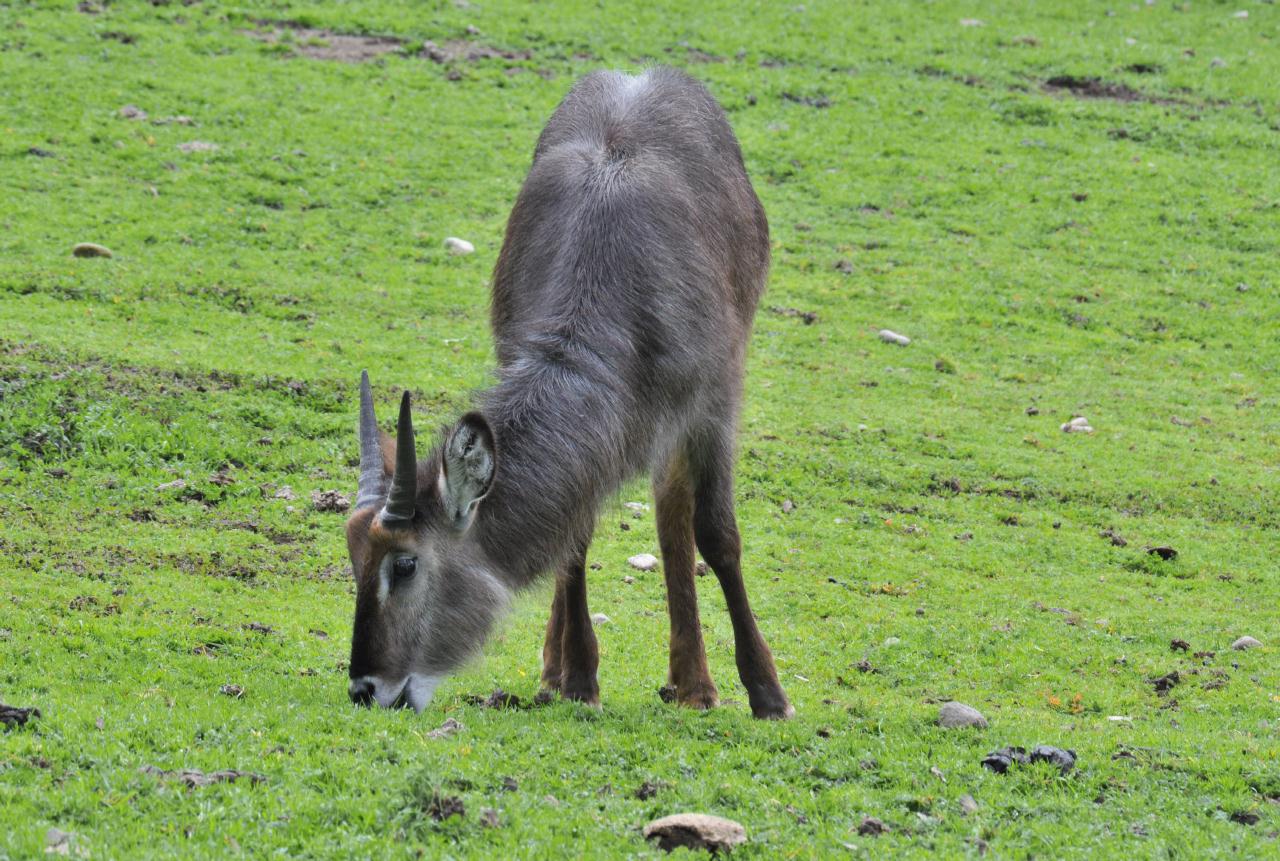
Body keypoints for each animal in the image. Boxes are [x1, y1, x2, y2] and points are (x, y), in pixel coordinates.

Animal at [345, 67, 793, 716]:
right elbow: (572, 533)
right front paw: (579, 676)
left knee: (673, 507)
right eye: (354, 556)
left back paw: (695, 685)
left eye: (405, 564)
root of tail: (638, 73)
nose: (365, 688)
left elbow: (717, 534)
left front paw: (767, 692)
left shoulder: (714, 402)